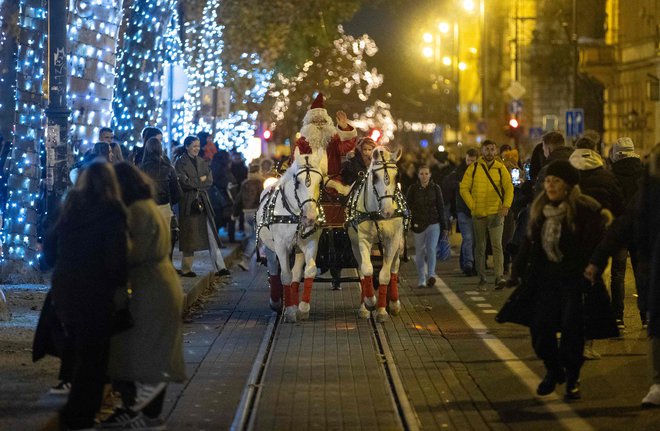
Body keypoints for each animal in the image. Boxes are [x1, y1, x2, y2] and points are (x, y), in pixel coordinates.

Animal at [260, 150, 328, 322]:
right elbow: (285, 275)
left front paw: (302, 308)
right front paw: (290, 310)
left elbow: (309, 271)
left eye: (320, 182)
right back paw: (276, 302)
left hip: (298, 248)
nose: (310, 217)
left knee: (296, 273)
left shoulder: (310, 243)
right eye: (297, 181)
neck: (295, 215)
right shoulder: (281, 246)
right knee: (274, 268)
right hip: (269, 246)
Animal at [346, 147, 408, 322]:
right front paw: (369, 302)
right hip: (355, 244)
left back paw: (394, 303)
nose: (388, 211)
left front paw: (381, 309)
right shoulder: (362, 240)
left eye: (397, 175)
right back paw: (364, 307)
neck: (376, 213)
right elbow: (366, 270)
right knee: (361, 270)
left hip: (398, 243)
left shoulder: (392, 241)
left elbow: (384, 275)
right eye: (375, 176)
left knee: (394, 268)